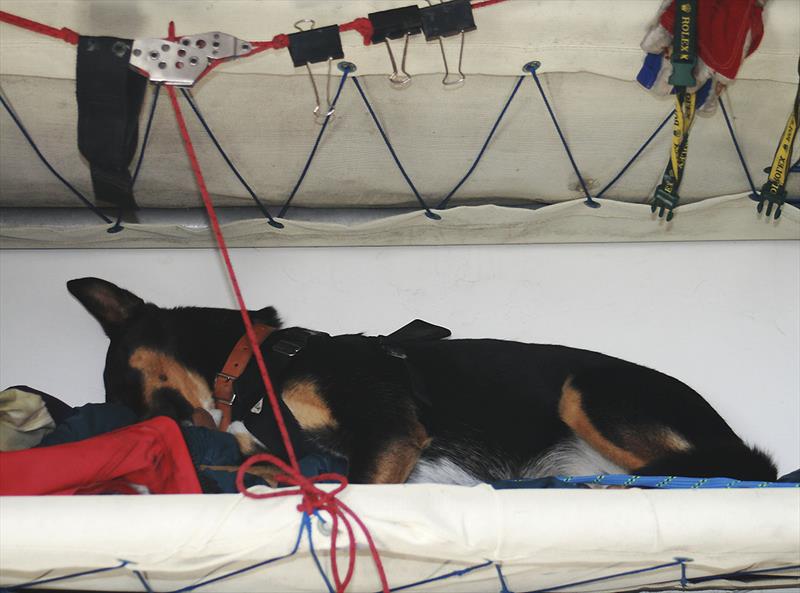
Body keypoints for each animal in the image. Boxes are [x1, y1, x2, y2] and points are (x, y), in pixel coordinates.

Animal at [65, 276, 780, 484]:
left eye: (120, 388)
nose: (152, 443)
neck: (258, 361)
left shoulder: (385, 430)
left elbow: (357, 486)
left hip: (586, 391)